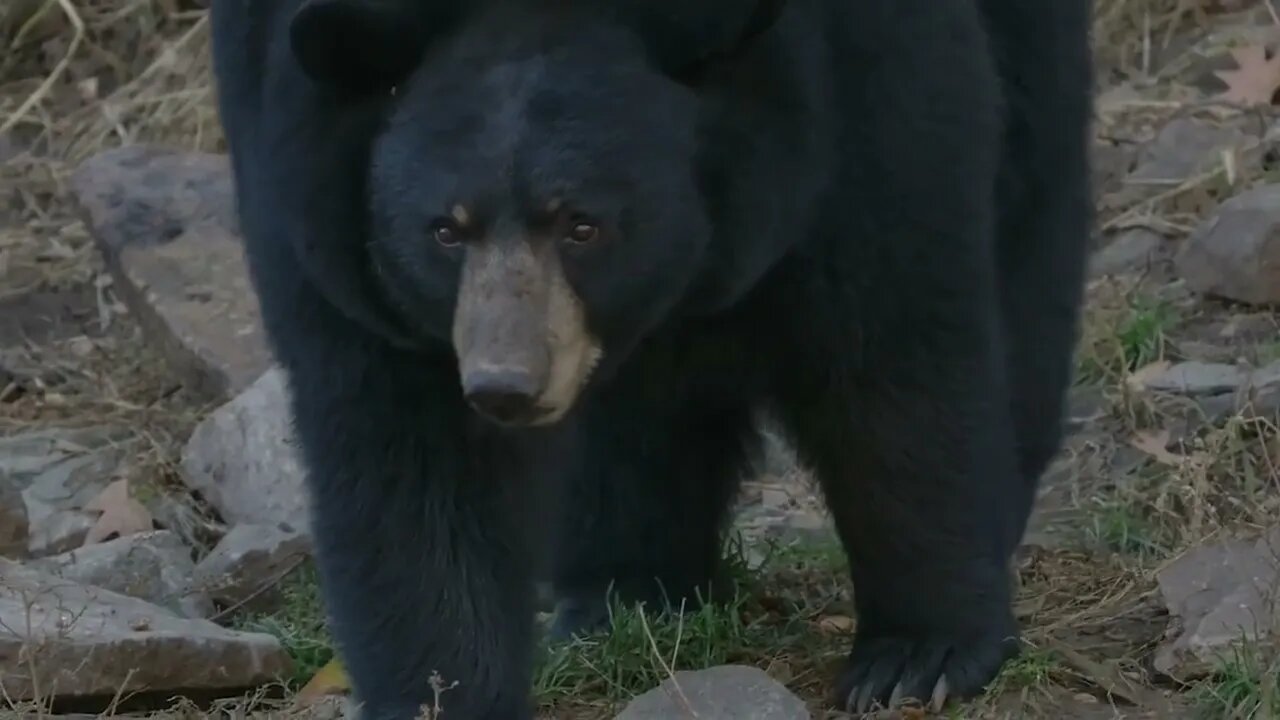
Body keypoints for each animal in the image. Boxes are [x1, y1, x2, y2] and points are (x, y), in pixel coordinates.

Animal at [207, 0, 1090, 712]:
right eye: (446, 229)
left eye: (582, 224)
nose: (504, 386)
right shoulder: (312, 191)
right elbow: (408, 456)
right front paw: (444, 692)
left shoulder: (864, 78)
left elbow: (891, 348)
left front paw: (919, 656)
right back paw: (628, 593)